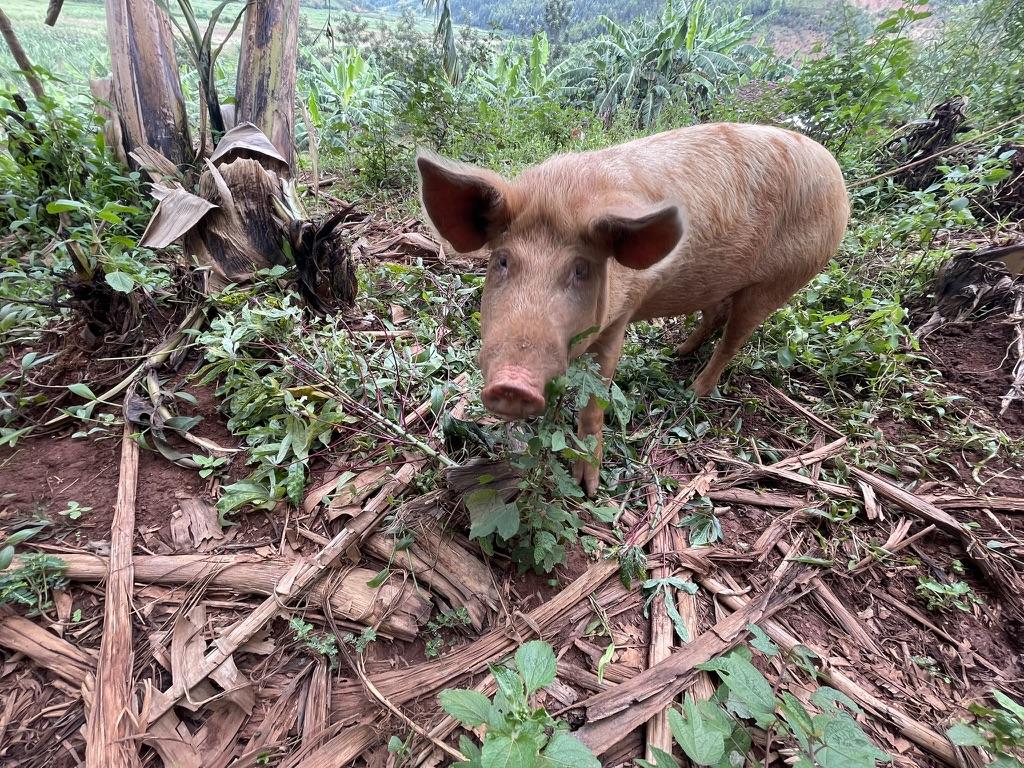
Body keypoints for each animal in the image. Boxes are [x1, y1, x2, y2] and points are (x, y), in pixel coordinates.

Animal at [416, 123, 849, 496]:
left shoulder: (619, 321)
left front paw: (588, 489)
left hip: (782, 281)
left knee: (733, 339)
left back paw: (693, 390)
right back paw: (678, 352)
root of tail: (835, 172)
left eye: (581, 269)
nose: (512, 383)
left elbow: (596, 400)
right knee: (715, 316)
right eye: (502, 260)